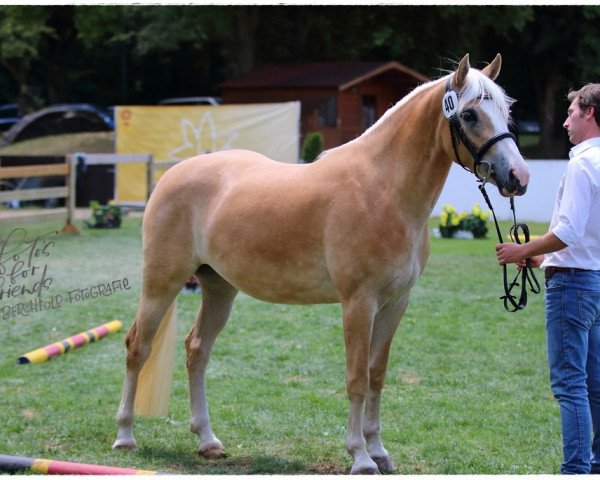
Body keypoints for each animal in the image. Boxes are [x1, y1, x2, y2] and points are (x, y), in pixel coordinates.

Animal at [112, 54, 528, 474]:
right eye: (471, 114)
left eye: (506, 111)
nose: (519, 176)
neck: (382, 190)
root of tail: (170, 176)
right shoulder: (358, 303)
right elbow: (357, 378)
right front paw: (360, 457)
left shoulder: (395, 304)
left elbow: (377, 375)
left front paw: (379, 451)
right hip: (162, 283)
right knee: (137, 347)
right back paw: (125, 436)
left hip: (218, 288)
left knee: (197, 350)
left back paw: (208, 441)